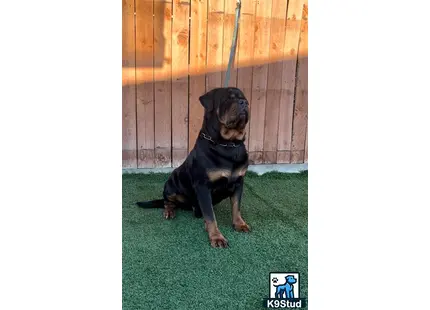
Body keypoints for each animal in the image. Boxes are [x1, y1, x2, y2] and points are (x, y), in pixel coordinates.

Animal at [138, 86, 250, 247]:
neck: (228, 144)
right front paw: (216, 237)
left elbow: (236, 207)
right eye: (227, 99)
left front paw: (239, 224)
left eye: (245, 99)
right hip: (171, 183)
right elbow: (210, 215)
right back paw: (169, 211)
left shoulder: (239, 182)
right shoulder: (203, 186)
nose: (244, 103)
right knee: (167, 201)